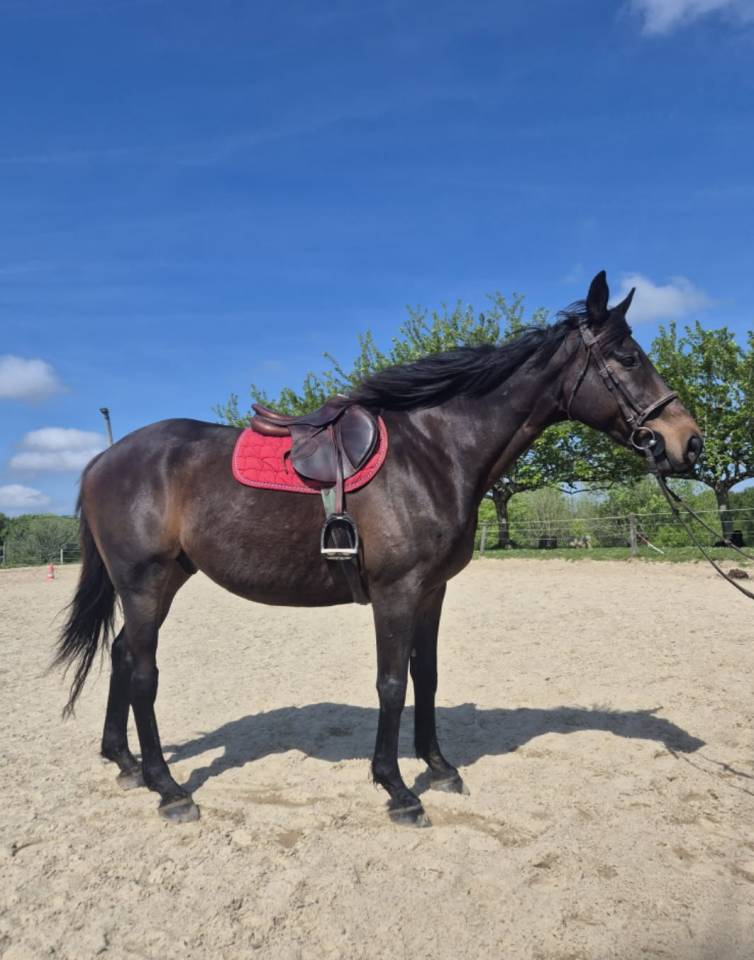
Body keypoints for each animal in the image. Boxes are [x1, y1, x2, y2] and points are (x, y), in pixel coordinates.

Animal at [54, 271, 703, 826]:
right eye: (628, 358)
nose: (687, 443)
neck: (435, 451)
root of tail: (103, 459)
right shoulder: (397, 591)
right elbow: (391, 683)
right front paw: (397, 789)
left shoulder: (432, 591)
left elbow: (427, 676)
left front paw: (439, 767)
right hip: (144, 582)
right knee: (143, 672)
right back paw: (168, 788)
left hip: (163, 581)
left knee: (121, 655)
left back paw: (126, 763)